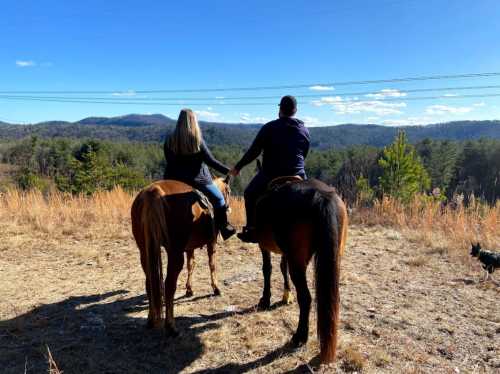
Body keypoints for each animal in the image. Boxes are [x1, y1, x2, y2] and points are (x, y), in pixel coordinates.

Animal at [130, 177, 229, 334]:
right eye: (229, 191)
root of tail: (154, 191)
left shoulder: (189, 248)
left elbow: (191, 265)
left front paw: (189, 289)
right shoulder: (212, 242)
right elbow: (211, 264)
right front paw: (216, 288)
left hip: (144, 251)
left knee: (149, 282)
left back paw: (151, 320)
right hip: (174, 252)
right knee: (169, 285)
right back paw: (171, 325)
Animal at [254, 180, 348, 364]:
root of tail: (322, 195)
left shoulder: (264, 246)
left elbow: (267, 269)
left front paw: (265, 299)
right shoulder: (285, 253)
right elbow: (282, 268)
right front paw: (286, 295)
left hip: (297, 262)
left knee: (305, 298)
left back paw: (299, 336)